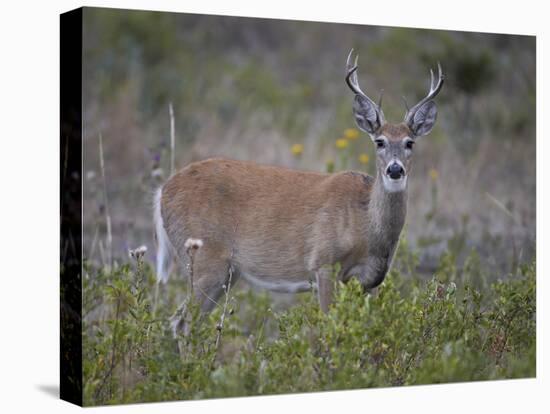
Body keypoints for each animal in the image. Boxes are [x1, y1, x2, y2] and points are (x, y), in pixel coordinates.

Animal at [154, 48, 444, 334]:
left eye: (410, 142)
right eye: (380, 141)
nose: (395, 169)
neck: (365, 226)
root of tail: (162, 191)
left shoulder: (370, 280)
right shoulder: (323, 263)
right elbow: (328, 330)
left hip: (227, 273)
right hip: (203, 257)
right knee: (180, 322)